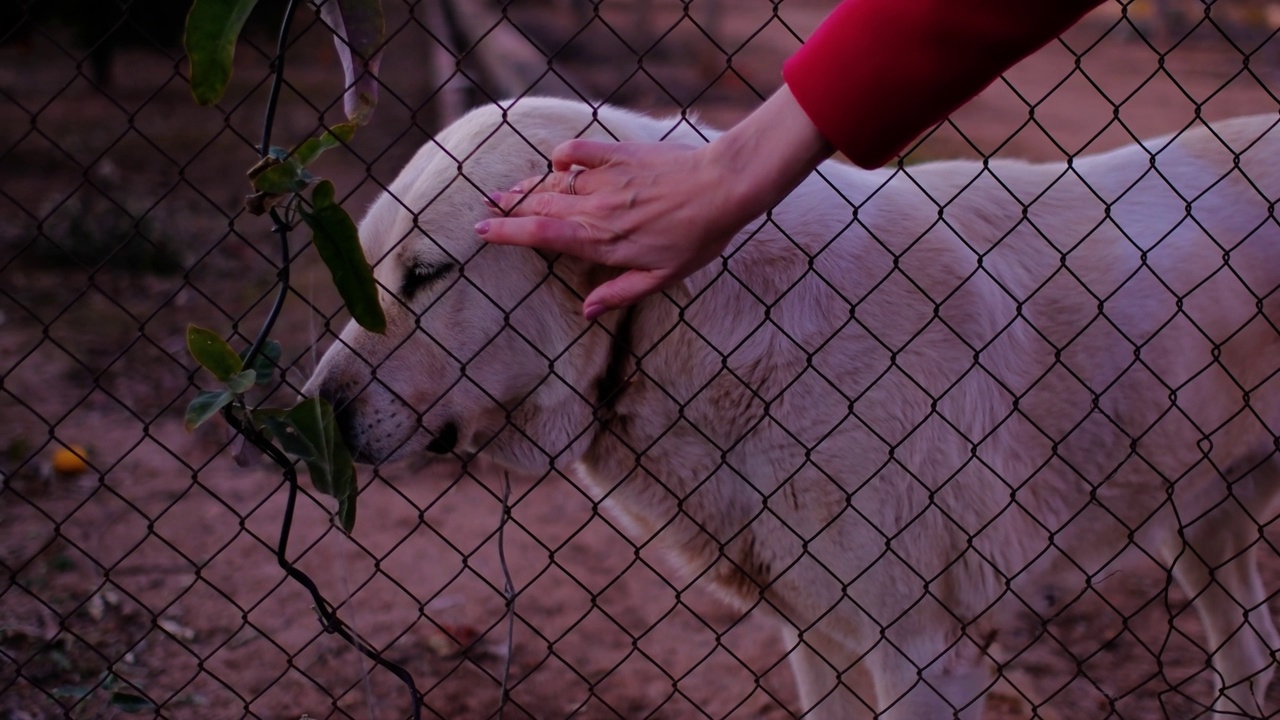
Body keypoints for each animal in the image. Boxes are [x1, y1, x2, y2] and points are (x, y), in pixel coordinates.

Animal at [304, 99, 1280, 717]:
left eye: (425, 275)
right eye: (366, 272)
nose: (310, 421)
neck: (684, 320)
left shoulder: (924, 652)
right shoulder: (821, 637)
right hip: (1201, 531)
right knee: (1251, 671)